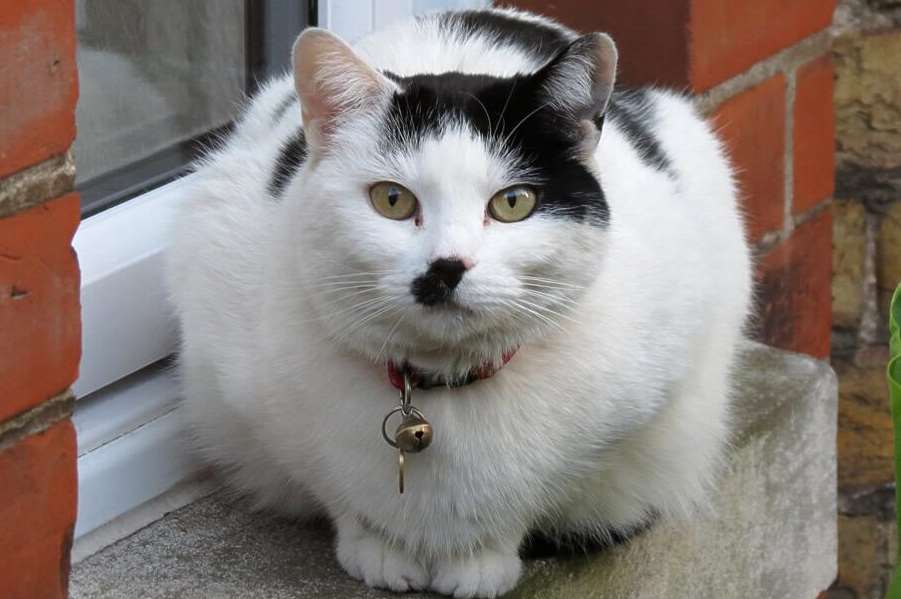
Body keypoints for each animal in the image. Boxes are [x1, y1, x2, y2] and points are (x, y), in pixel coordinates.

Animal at [167, 5, 752, 599]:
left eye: (514, 203)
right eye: (392, 200)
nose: (447, 267)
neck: (441, 389)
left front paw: (480, 563)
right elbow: (336, 489)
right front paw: (378, 550)